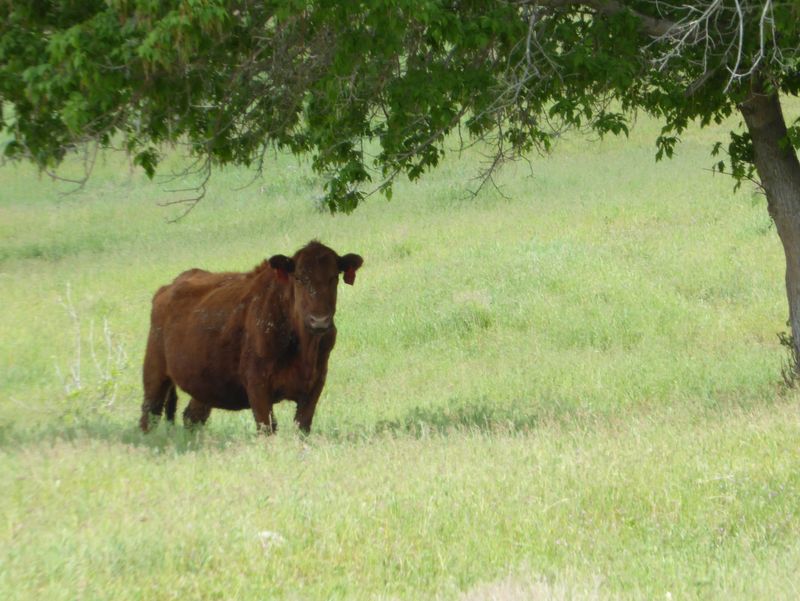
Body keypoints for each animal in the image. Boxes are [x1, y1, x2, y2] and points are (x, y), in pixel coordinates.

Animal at [140, 241, 363, 434]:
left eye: (334, 277)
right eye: (299, 278)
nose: (319, 321)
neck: (304, 348)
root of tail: (167, 288)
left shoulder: (314, 385)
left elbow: (302, 427)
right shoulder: (257, 385)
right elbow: (267, 428)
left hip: (205, 383)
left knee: (192, 417)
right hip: (155, 373)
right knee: (149, 415)